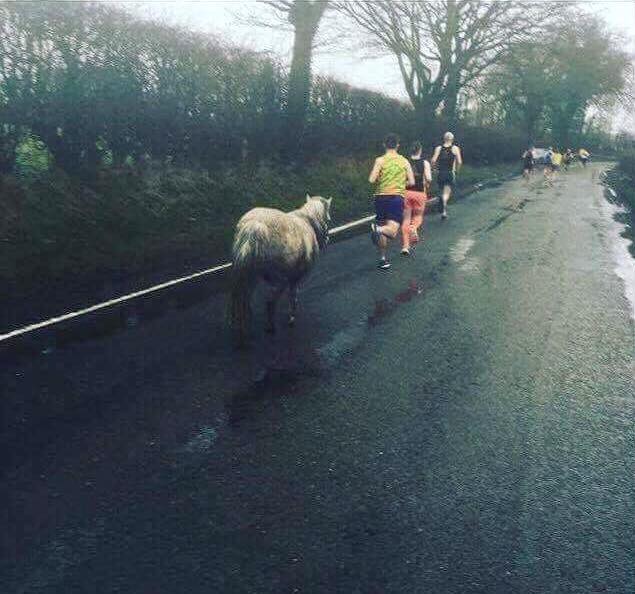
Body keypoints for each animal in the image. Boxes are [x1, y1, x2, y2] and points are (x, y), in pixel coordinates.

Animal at [230, 194, 332, 342]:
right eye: (328, 219)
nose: (327, 239)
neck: (307, 221)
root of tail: (254, 228)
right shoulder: (295, 277)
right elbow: (293, 295)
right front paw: (291, 317)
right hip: (277, 279)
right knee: (269, 302)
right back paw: (270, 327)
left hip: (250, 276)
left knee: (244, 301)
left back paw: (243, 329)